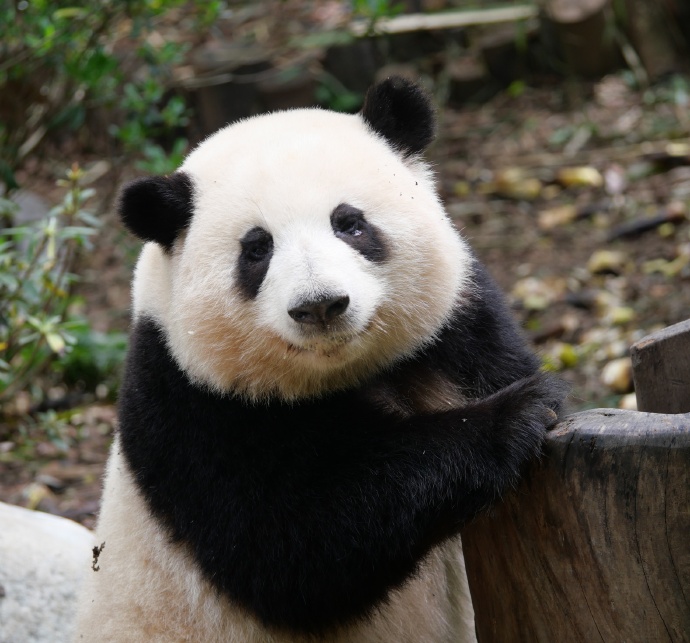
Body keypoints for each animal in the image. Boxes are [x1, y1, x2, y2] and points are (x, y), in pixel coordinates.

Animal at [75, 77, 566, 642]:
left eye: (349, 223)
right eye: (257, 249)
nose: (320, 305)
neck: (344, 373)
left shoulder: (456, 330)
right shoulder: (189, 404)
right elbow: (296, 545)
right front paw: (517, 413)